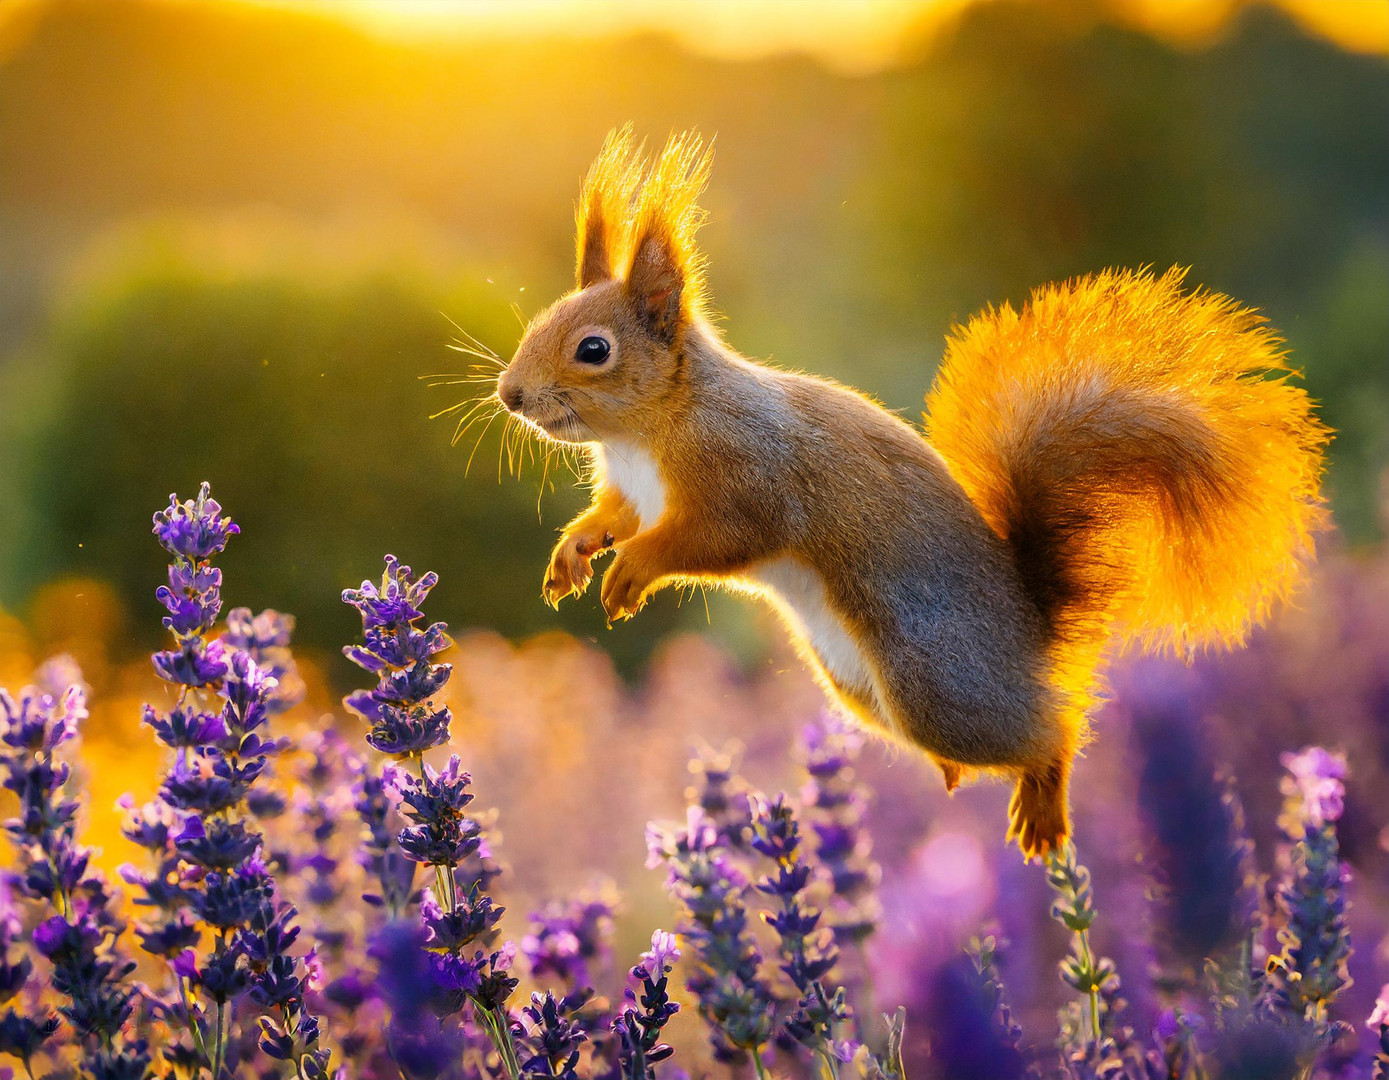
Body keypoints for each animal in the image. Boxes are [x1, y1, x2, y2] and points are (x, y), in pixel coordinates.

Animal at [494, 126, 1327, 855]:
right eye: (539, 321)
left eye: (592, 349)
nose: (509, 395)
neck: (648, 431)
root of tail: (1034, 632)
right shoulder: (634, 491)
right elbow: (612, 516)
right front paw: (572, 555)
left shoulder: (744, 477)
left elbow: (709, 538)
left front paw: (632, 569)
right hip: (859, 690)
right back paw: (955, 778)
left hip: (935, 681)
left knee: (1049, 728)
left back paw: (1041, 798)